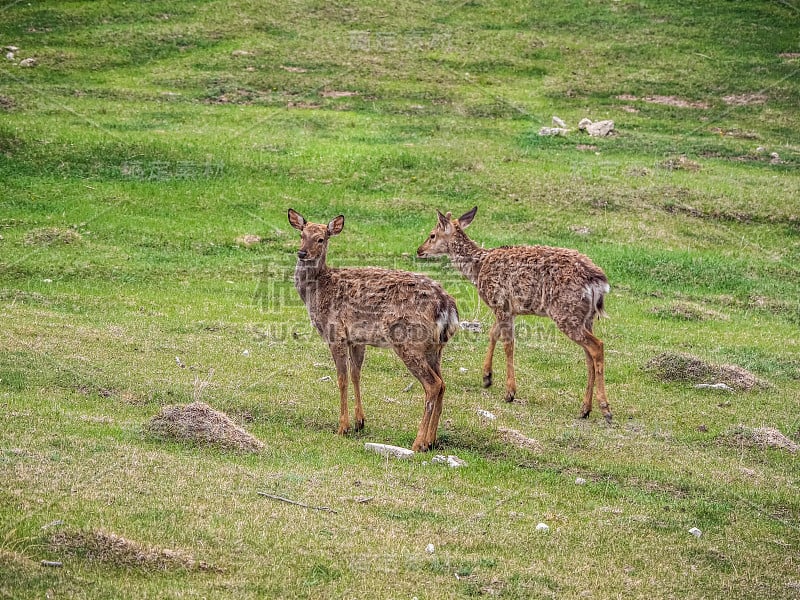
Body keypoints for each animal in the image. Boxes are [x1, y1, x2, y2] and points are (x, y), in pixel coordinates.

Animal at [290, 210, 460, 450]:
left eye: (321, 238)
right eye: (301, 235)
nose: (302, 252)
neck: (317, 290)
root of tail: (447, 306)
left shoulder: (336, 333)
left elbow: (341, 378)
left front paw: (342, 427)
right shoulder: (357, 339)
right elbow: (356, 374)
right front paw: (360, 422)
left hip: (408, 340)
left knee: (433, 385)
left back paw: (418, 443)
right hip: (435, 348)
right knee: (443, 384)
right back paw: (431, 440)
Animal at [418, 206, 612, 422]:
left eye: (432, 235)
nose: (420, 250)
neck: (478, 268)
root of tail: (599, 282)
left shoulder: (499, 301)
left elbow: (508, 344)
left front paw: (510, 392)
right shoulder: (508, 309)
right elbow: (493, 334)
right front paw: (487, 377)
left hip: (566, 313)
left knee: (597, 346)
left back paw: (605, 408)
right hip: (586, 318)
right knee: (588, 355)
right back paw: (585, 409)